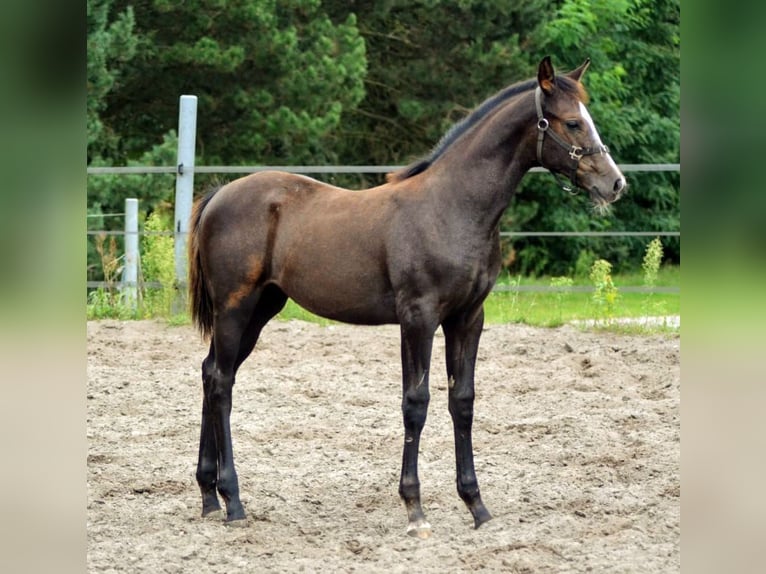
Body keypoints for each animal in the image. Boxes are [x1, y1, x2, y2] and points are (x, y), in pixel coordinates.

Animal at [189, 56, 628, 536]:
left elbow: (462, 401)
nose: (615, 184)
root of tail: (220, 194)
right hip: (235, 308)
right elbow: (415, 403)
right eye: (572, 122)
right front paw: (415, 508)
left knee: (212, 373)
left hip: (261, 309)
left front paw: (476, 505)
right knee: (221, 382)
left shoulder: (467, 318)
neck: (452, 207)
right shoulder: (418, 317)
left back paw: (209, 496)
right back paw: (233, 501)